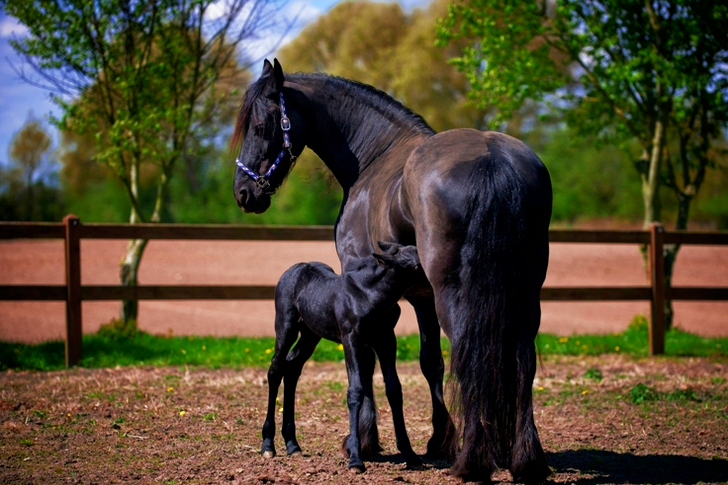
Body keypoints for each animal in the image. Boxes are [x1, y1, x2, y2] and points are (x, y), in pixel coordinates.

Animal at [262, 241, 424, 472]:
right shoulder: (351, 340)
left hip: (310, 334)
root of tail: (295, 268)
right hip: (286, 326)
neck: (370, 295)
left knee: (292, 369)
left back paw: (293, 444)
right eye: (417, 265)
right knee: (275, 370)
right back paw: (268, 445)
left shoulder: (386, 341)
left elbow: (394, 390)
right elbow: (355, 391)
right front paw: (355, 459)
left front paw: (410, 454)